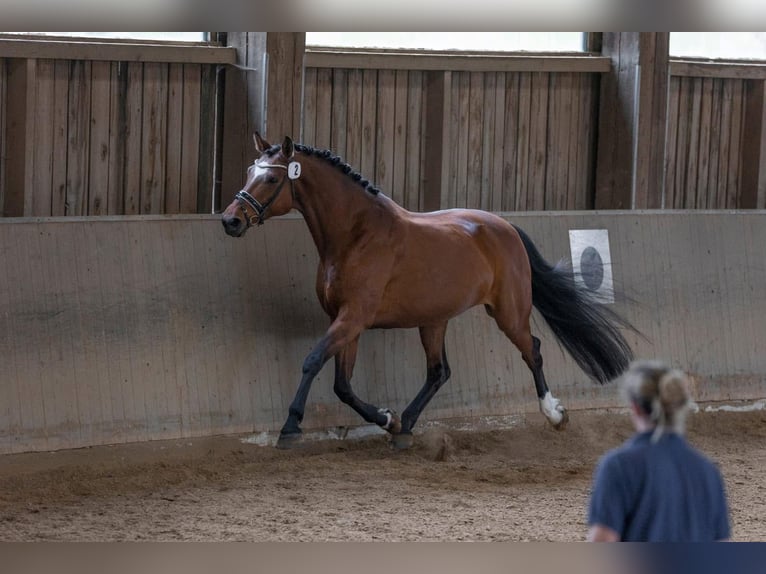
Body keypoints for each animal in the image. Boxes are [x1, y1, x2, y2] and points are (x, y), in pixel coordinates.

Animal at [222, 133, 637, 449]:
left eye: (271, 180)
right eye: (249, 171)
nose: (230, 221)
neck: (356, 234)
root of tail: (504, 227)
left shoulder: (353, 318)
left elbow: (312, 361)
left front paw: (290, 427)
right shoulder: (345, 321)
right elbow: (342, 385)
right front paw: (386, 419)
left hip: (508, 312)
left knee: (531, 350)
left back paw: (554, 414)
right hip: (434, 320)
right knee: (439, 371)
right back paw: (405, 426)